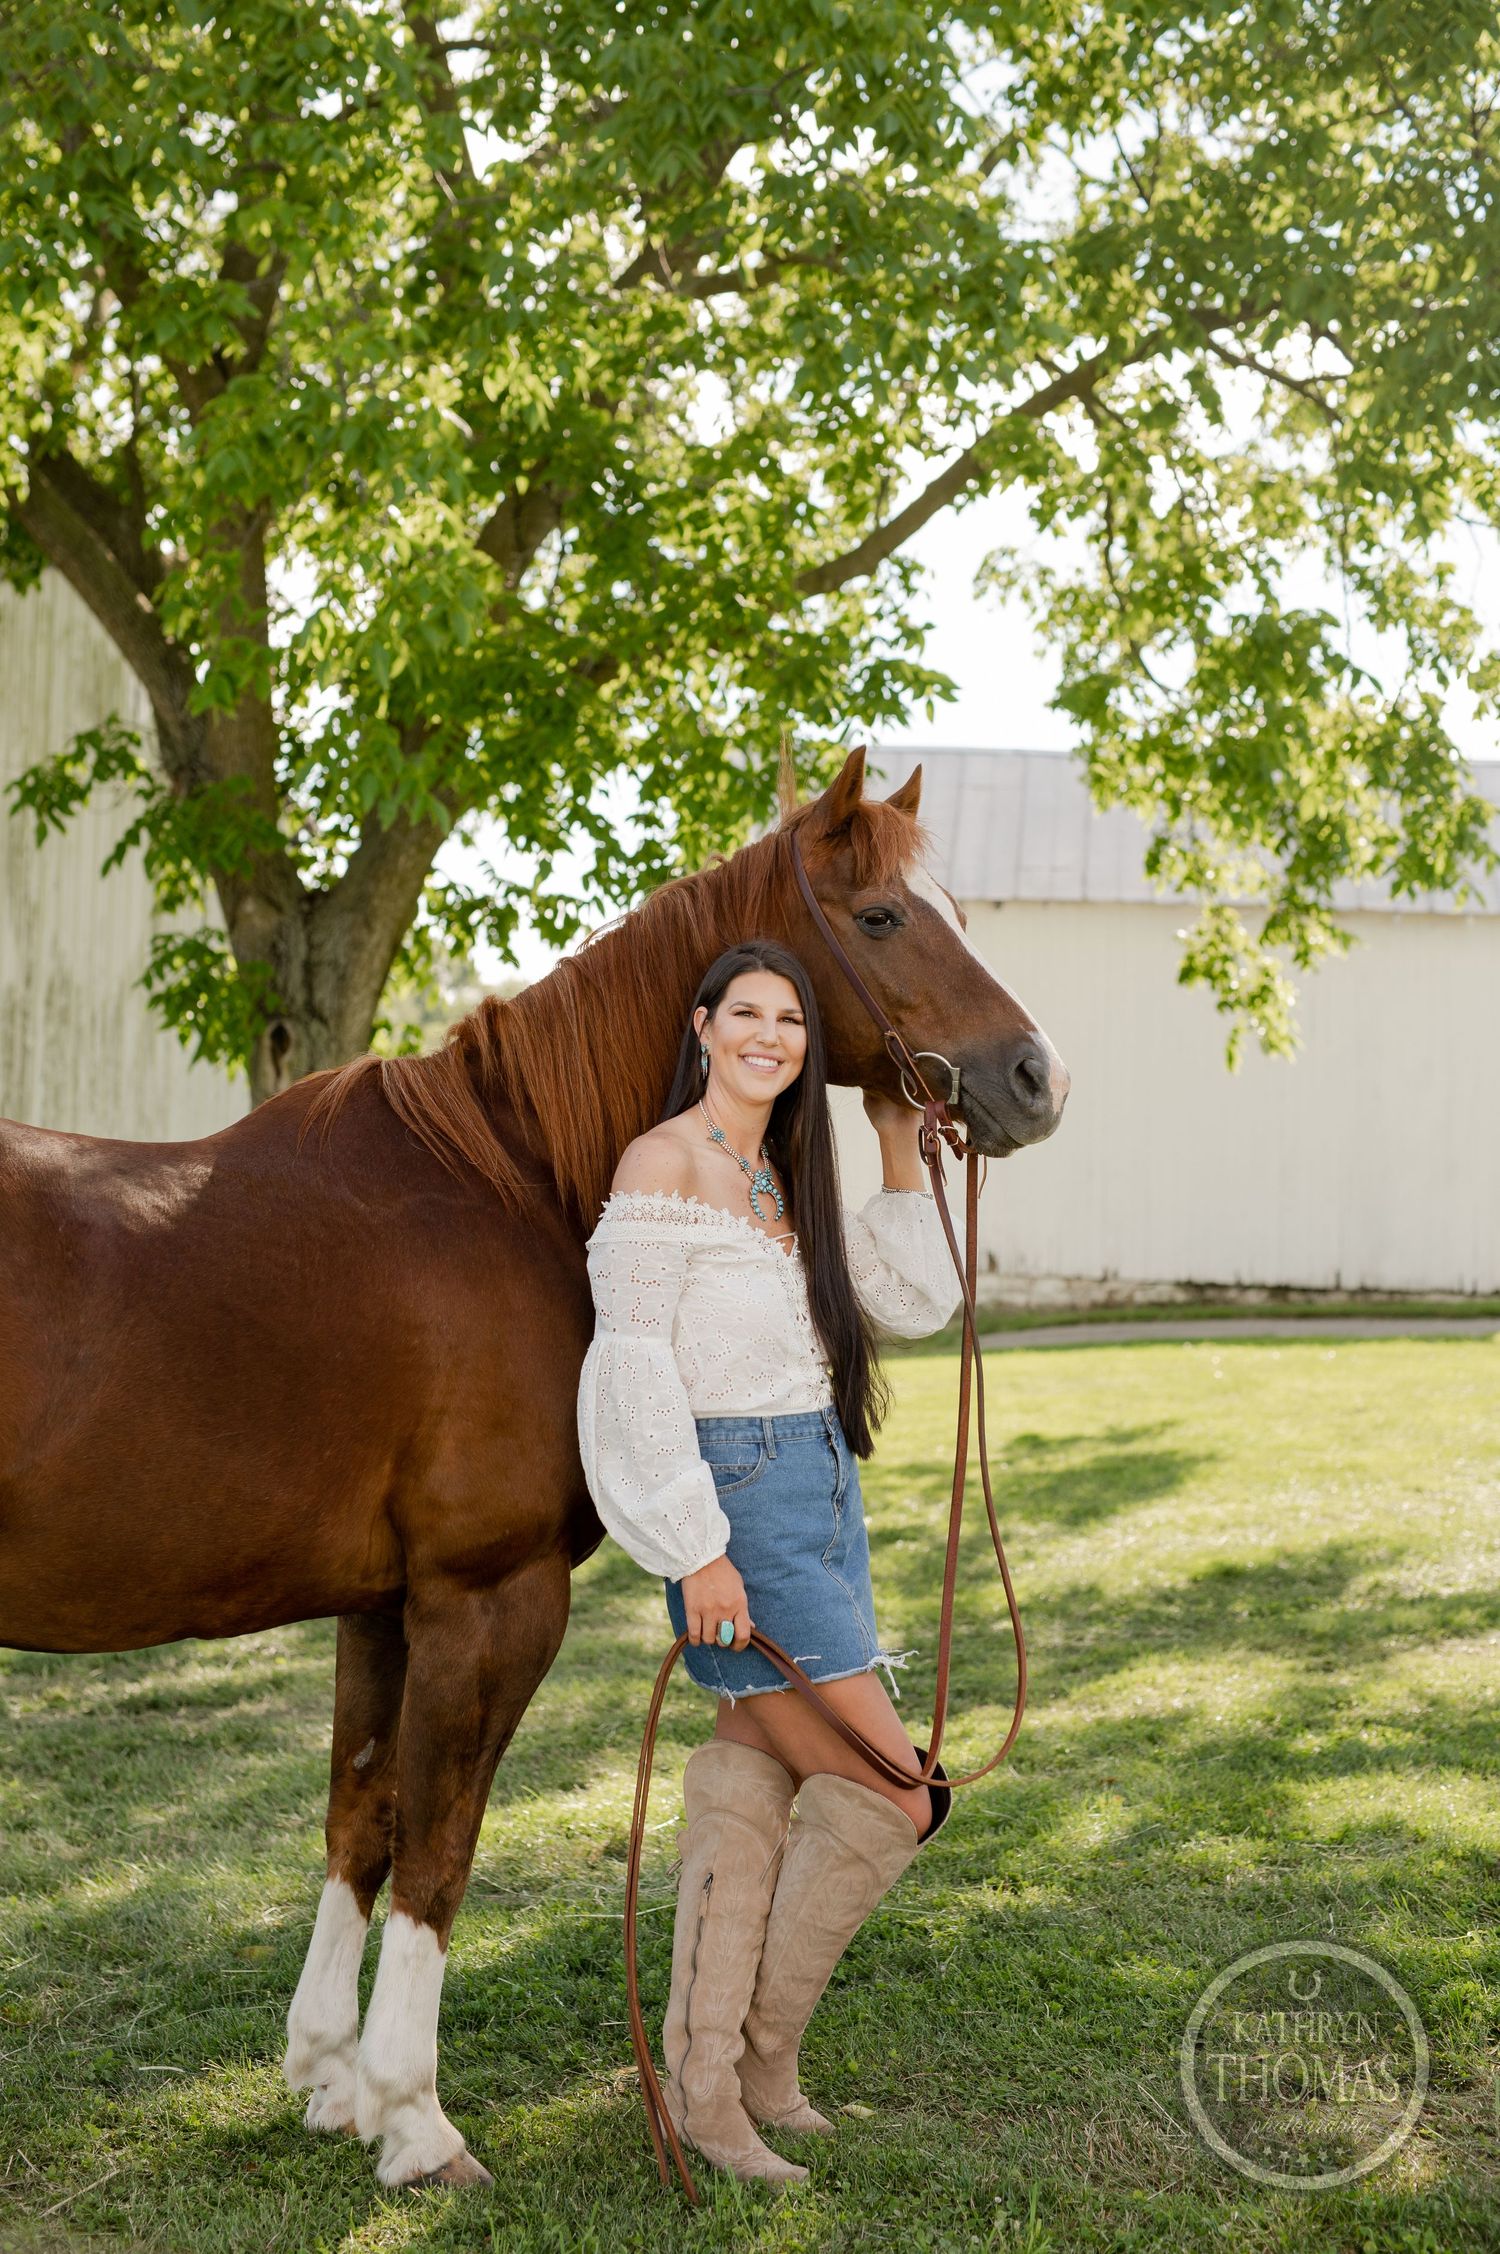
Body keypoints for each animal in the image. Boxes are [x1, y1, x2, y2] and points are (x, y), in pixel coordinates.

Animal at [0, 747, 1069, 2189]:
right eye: (887, 915)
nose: (1034, 1077)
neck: (508, 1185)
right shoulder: (487, 1599)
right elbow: (441, 1849)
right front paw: (415, 2120)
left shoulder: (382, 1606)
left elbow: (362, 1820)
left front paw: (328, 2081)